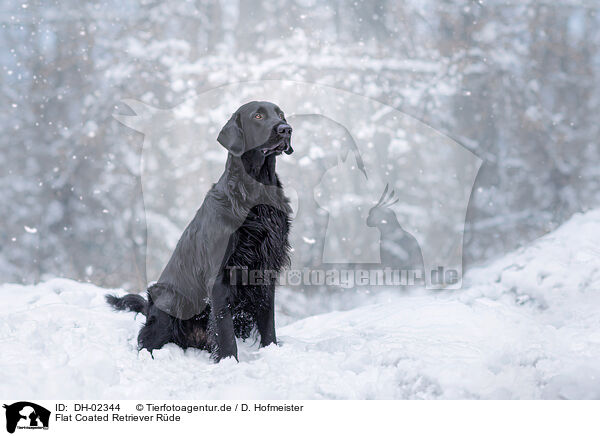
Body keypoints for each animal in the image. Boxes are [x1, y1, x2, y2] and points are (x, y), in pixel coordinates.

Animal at [109, 102, 296, 362]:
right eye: (258, 116)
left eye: (281, 115)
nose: (286, 129)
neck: (255, 194)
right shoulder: (218, 276)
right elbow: (224, 329)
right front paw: (229, 362)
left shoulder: (266, 268)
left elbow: (268, 323)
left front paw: (272, 352)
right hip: (170, 300)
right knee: (144, 340)